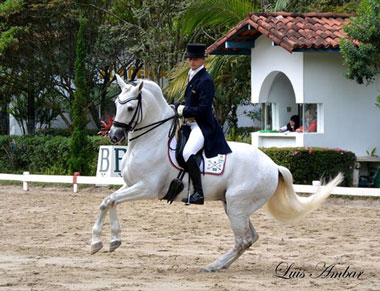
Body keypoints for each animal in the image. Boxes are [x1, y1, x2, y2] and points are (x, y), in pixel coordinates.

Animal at [90, 76, 342, 272]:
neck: (152, 139)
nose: (114, 136)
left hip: (237, 205)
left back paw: (213, 266)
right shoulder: (131, 185)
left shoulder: (147, 188)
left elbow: (111, 201)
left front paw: (101, 241)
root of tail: (272, 166)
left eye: (130, 108)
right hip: (234, 206)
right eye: (116, 103)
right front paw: (108, 241)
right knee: (250, 238)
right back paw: (219, 265)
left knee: (242, 239)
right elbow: (108, 201)